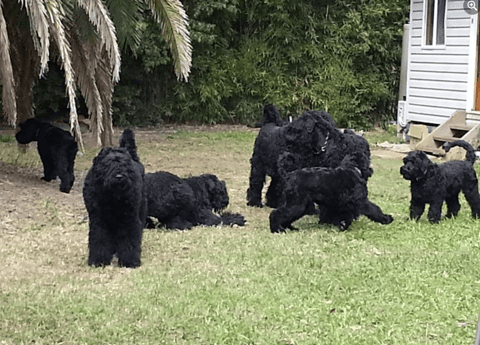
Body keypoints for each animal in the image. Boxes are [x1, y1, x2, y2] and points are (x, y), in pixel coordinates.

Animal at [83, 128, 146, 266]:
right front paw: (98, 260)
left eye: (125, 164)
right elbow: (99, 238)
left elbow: (129, 238)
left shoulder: (129, 218)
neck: (112, 196)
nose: (119, 176)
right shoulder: (98, 219)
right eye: (107, 164)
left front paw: (130, 260)